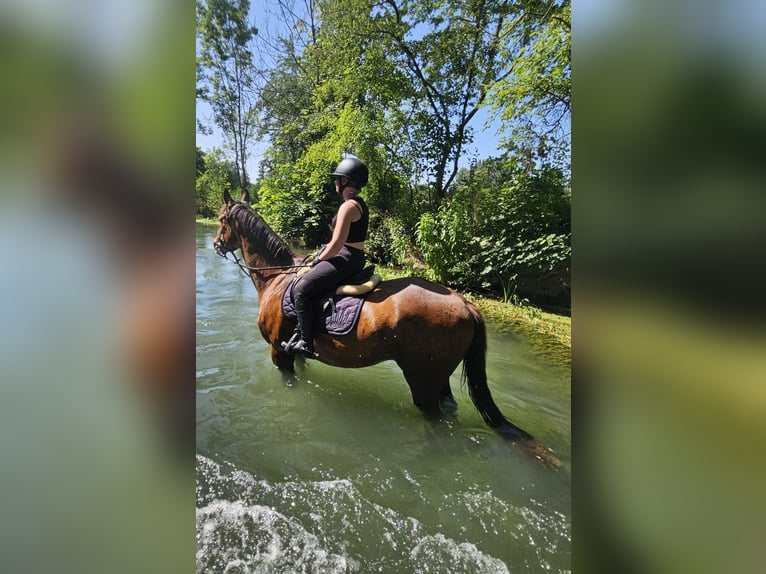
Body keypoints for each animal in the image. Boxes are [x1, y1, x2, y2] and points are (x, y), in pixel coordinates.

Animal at [213, 190, 557, 464]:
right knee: (448, 410)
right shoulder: (293, 351)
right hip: (440, 376)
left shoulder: (279, 353)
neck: (278, 276)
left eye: (220, 219)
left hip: (422, 381)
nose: (217, 245)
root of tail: (466, 303)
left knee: (434, 420)